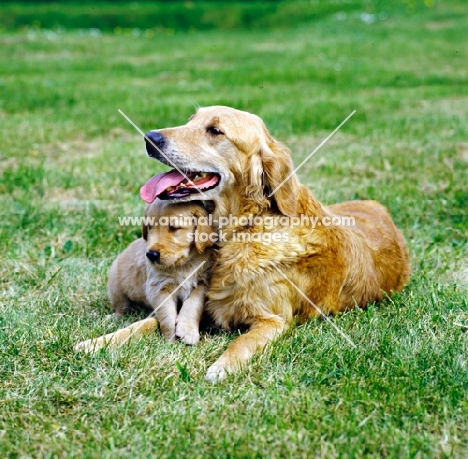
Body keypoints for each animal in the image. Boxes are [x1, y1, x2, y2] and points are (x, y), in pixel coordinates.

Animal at [74, 199, 216, 354]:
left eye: (173, 228)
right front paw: (171, 341)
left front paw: (188, 331)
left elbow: (193, 304)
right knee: (122, 309)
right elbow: (167, 316)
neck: (183, 264)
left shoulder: (203, 282)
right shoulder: (158, 288)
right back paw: (112, 318)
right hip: (116, 286)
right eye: (149, 227)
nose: (151, 255)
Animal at [141, 106, 412, 382]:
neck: (246, 224)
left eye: (215, 130)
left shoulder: (273, 320)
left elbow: (242, 341)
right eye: (191, 121)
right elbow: (152, 319)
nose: (150, 138)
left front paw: (221, 366)